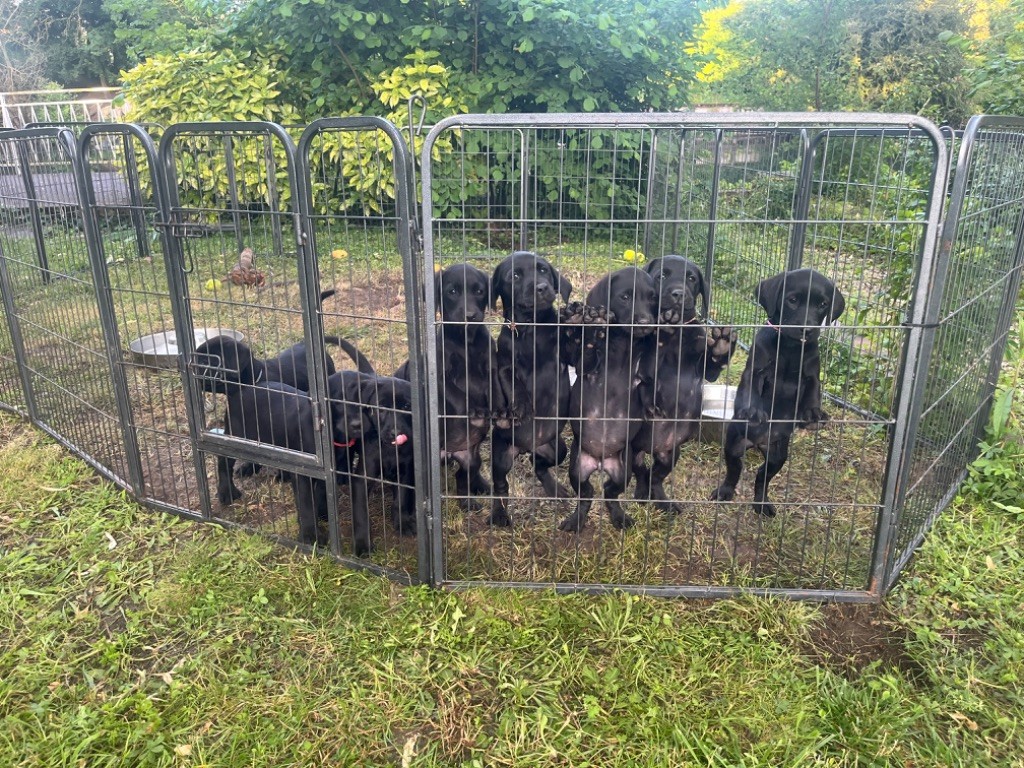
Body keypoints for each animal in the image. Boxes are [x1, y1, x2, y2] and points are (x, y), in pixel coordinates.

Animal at [391, 264, 507, 512]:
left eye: (479, 291)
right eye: (452, 292)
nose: (470, 316)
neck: (466, 342)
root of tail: (450, 453)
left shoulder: (491, 366)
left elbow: (495, 389)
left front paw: (499, 411)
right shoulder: (439, 376)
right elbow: (459, 396)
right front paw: (476, 411)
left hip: (471, 459)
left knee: (463, 477)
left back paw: (471, 500)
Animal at [483, 252, 573, 528]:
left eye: (543, 270)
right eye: (514, 276)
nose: (542, 288)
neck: (532, 328)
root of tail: (527, 448)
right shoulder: (503, 365)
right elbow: (514, 384)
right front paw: (521, 407)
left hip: (558, 449)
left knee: (540, 465)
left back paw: (554, 489)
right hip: (501, 455)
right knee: (500, 485)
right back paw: (499, 515)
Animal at [557, 268, 659, 532]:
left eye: (652, 298)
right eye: (625, 297)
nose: (646, 323)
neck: (621, 346)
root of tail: (601, 463)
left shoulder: (643, 374)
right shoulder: (585, 368)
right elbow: (587, 351)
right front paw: (587, 327)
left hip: (624, 470)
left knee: (609, 492)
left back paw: (619, 516)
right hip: (576, 468)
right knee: (587, 493)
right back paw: (576, 520)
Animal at [630, 256, 737, 514]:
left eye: (691, 278)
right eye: (661, 275)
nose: (678, 294)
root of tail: (651, 447)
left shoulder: (707, 371)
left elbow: (712, 363)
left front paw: (722, 345)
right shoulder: (645, 364)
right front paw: (665, 322)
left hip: (671, 453)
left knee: (654, 476)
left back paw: (664, 502)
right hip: (629, 451)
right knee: (640, 471)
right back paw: (641, 495)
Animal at [712, 268, 847, 518]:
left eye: (823, 304)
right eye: (792, 300)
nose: (808, 329)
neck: (790, 347)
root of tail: (759, 443)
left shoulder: (812, 375)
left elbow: (813, 393)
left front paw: (813, 414)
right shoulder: (756, 370)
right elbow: (752, 390)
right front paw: (753, 411)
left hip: (777, 456)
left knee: (761, 477)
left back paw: (761, 503)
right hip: (734, 446)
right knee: (734, 470)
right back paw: (725, 491)